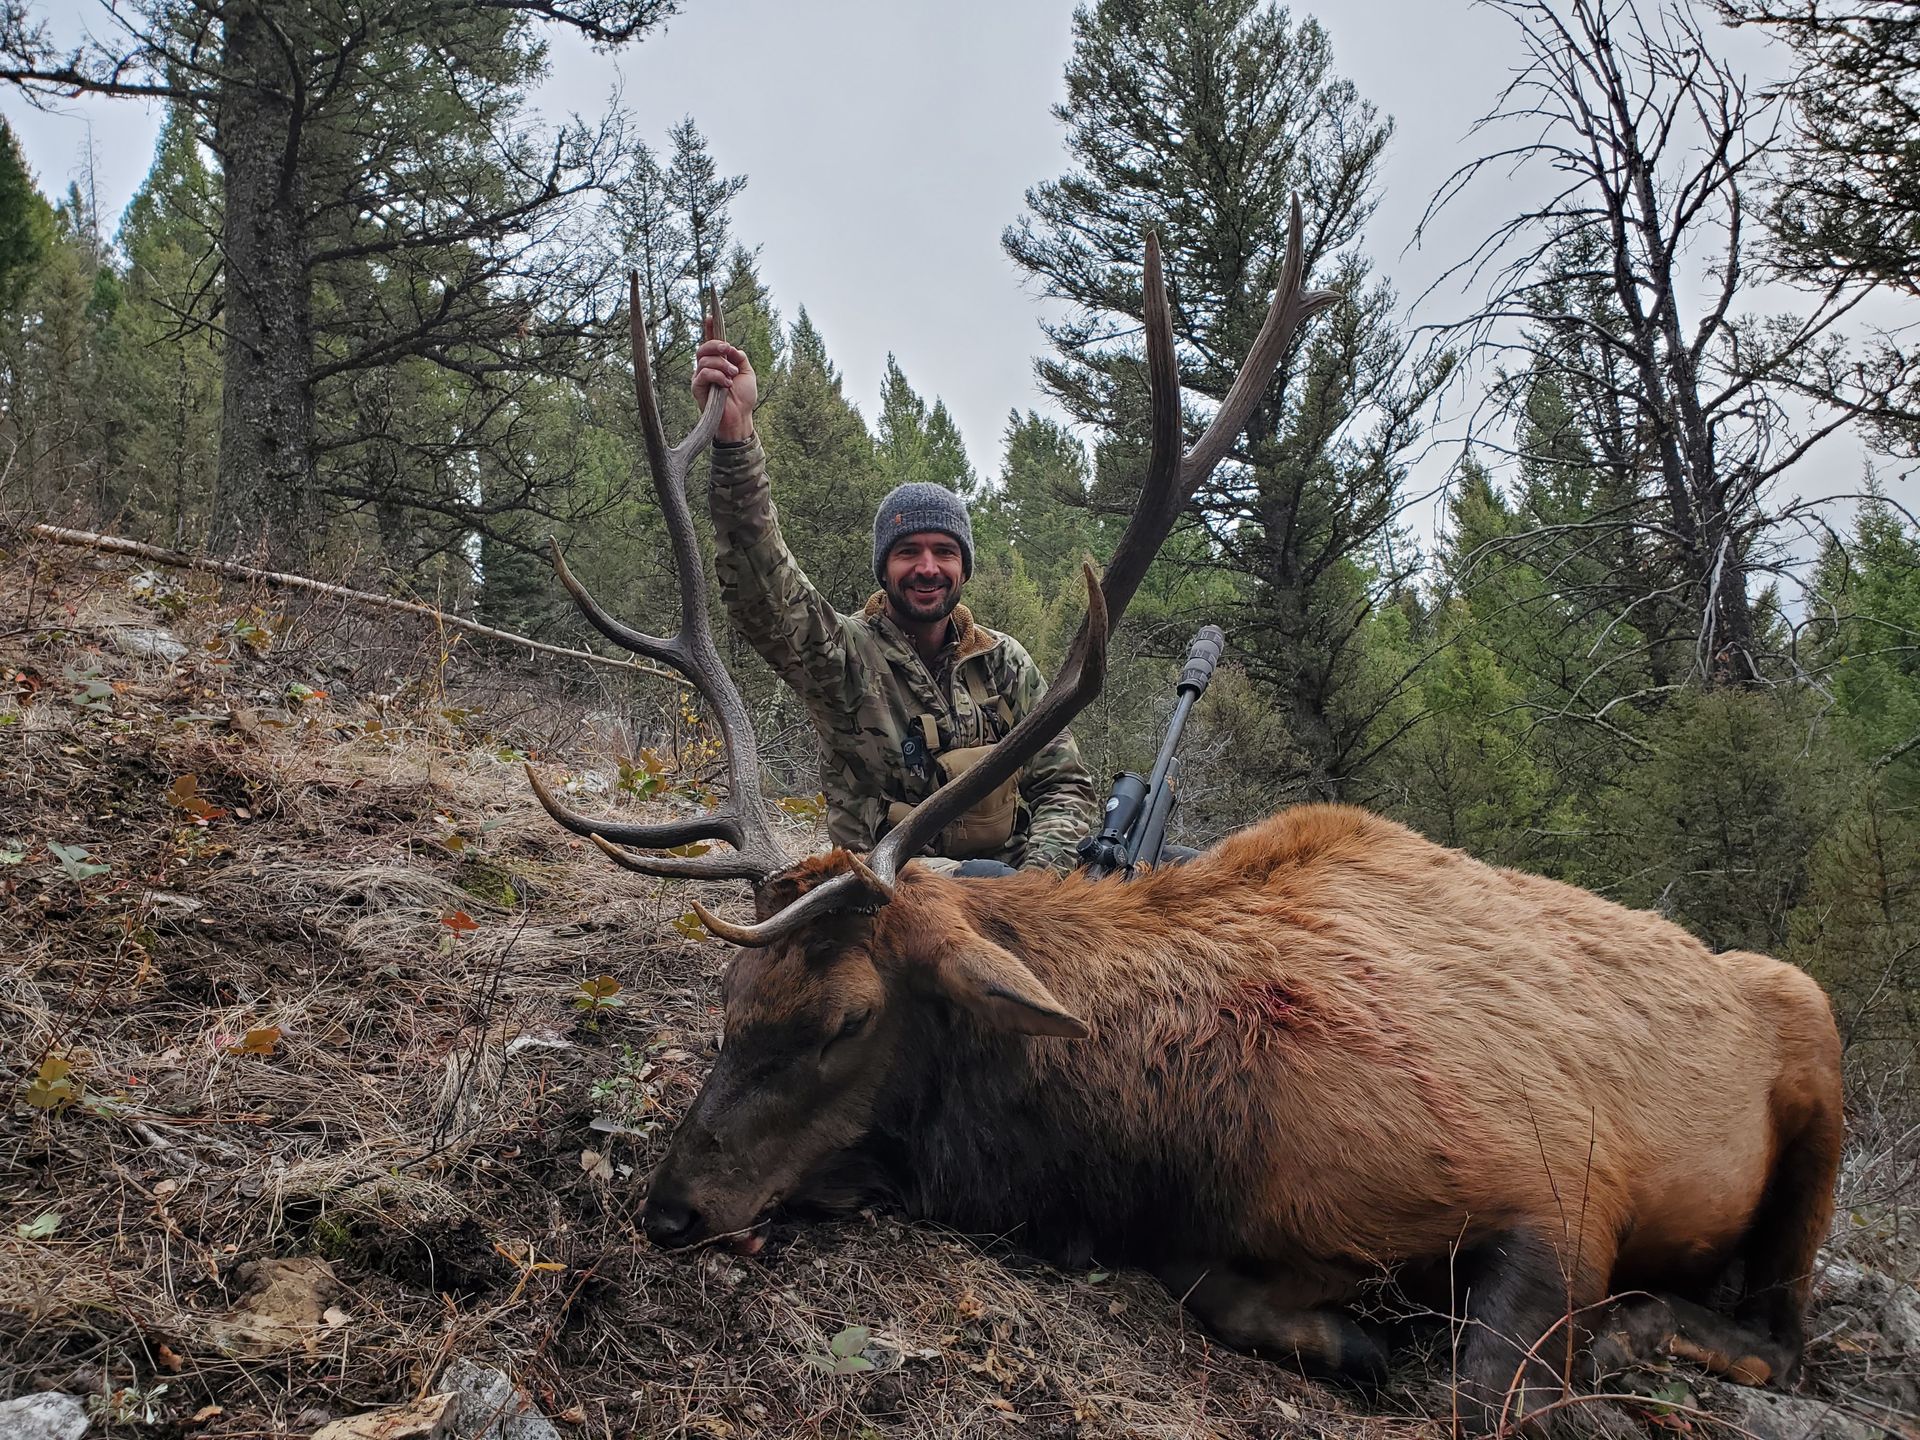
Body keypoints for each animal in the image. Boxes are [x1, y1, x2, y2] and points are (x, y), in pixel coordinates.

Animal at [526, 208, 1843, 1436]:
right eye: (730, 1001)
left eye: (848, 1018)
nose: (669, 1209)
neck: (1172, 1134)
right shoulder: (1203, 1246)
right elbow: (1241, 1299)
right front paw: (1359, 1334)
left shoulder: (1564, 1175)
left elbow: (1484, 1388)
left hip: (1812, 1040)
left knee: (1784, 1332)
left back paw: (1643, 1329)